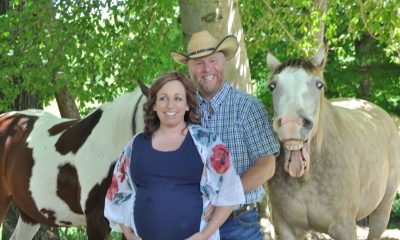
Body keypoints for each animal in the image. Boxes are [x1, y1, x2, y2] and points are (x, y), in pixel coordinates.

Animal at [266, 47, 400, 240]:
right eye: (272, 86)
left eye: (319, 84)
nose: (292, 124)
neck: (306, 179)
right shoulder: (285, 228)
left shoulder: (345, 228)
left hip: (382, 210)